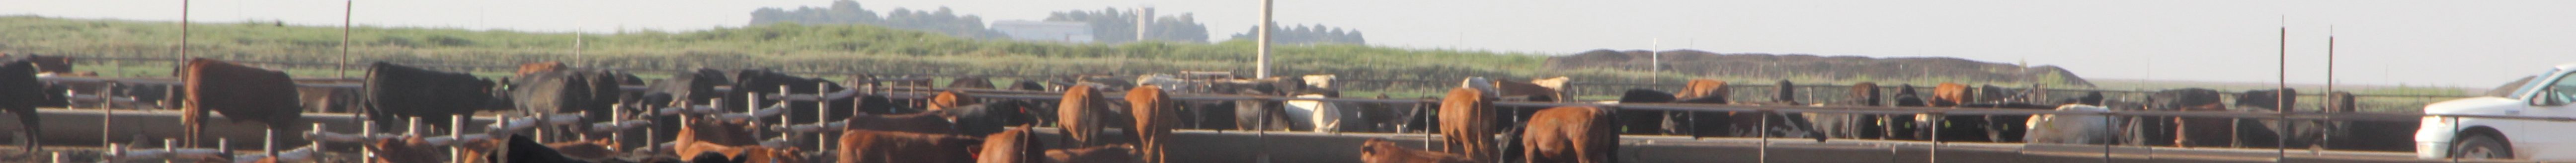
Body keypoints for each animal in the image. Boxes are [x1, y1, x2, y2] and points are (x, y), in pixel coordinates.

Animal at [181, 58, 304, 147]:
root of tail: (200, 60)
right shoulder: (275, 120)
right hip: (202, 107)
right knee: (199, 124)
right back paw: (198, 146)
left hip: (191, 105)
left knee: (189, 124)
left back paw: (188, 146)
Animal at [1443, 87, 1504, 160]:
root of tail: (1479, 96)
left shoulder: (1444, 129)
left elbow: (1448, 148)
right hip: (1491, 133)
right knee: (1491, 152)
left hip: (1467, 134)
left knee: (1470, 153)